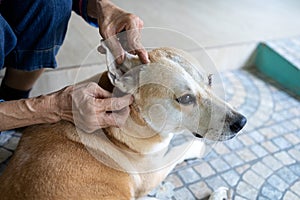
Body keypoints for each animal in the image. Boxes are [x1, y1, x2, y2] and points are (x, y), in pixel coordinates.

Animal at [0, 44, 246, 199]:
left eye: (210, 81)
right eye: (185, 99)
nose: (241, 122)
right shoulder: (153, 173)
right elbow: (180, 150)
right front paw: (197, 146)